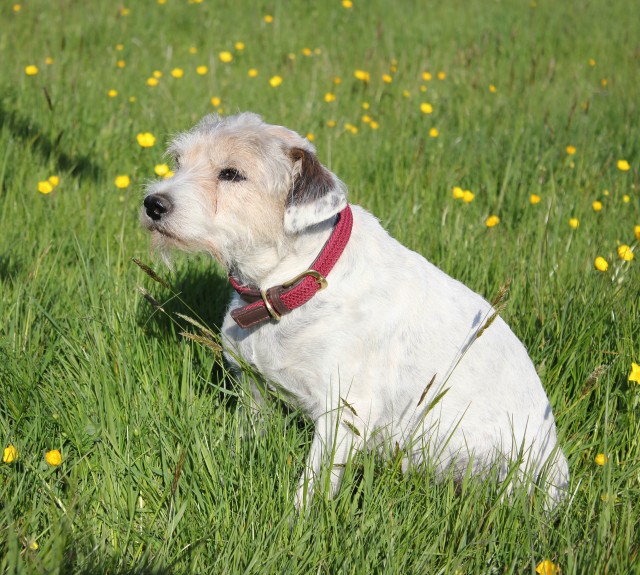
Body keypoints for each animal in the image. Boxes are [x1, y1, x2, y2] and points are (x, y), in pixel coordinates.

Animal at [142, 111, 568, 508]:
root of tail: (558, 472)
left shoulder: (343, 413)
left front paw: (294, 524)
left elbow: (311, 487)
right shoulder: (253, 390)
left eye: (231, 173)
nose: (153, 203)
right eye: (178, 161)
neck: (293, 281)